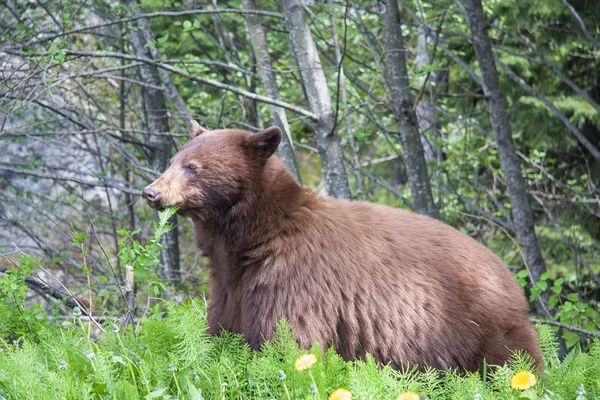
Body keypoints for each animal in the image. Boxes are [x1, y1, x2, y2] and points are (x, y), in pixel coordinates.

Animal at [142, 122, 544, 372]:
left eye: (192, 167)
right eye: (172, 161)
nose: (151, 192)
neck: (254, 238)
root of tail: (508, 274)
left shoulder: (293, 281)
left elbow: (288, 342)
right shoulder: (234, 285)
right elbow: (225, 329)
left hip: (479, 324)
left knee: (510, 363)